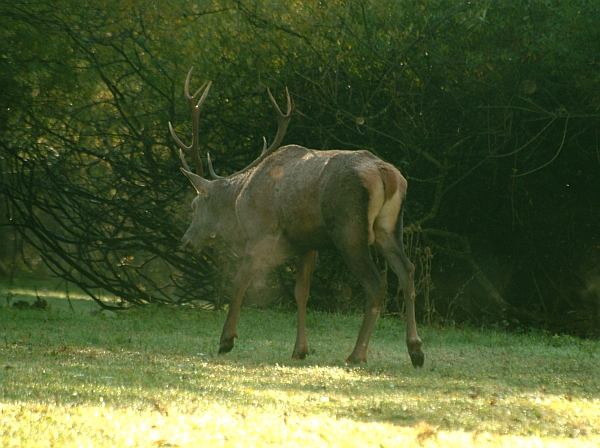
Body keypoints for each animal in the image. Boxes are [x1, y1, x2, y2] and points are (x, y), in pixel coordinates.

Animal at [168, 67, 422, 368]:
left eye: (195, 205)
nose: (186, 241)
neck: (239, 206)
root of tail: (387, 174)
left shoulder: (262, 234)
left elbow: (240, 281)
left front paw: (226, 340)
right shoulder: (307, 243)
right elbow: (301, 292)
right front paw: (300, 349)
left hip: (349, 229)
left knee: (376, 283)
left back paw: (357, 354)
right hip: (389, 228)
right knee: (407, 270)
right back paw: (416, 350)